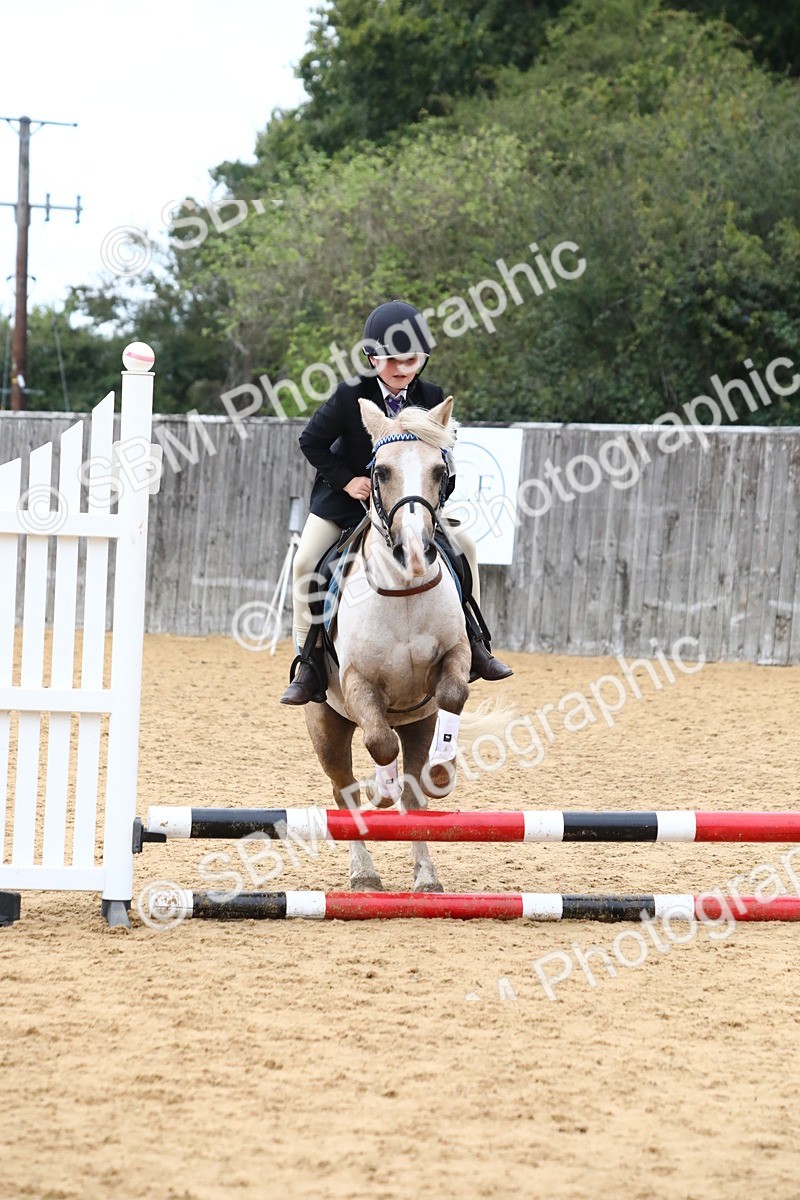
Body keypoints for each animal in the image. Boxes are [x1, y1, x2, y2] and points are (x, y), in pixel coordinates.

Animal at [303, 395, 512, 892]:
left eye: (440, 471)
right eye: (380, 472)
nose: (416, 553)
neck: (403, 590)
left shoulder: (454, 659)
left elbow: (454, 695)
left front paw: (443, 769)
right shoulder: (358, 683)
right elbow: (380, 744)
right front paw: (382, 790)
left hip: (418, 720)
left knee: (415, 798)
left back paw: (426, 877)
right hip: (326, 725)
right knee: (344, 790)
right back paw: (363, 873)